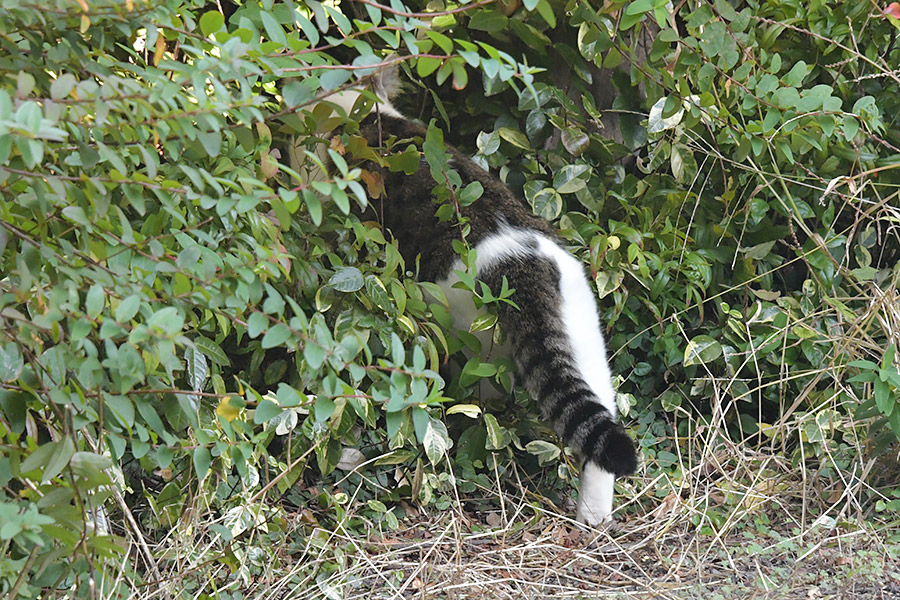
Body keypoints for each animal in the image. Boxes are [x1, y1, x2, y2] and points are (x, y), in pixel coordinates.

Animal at [312, 76, 636, 524]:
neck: (367, 114)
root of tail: (528, 265)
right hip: (584, 342)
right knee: (599, 417)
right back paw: (594, 515)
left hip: (478, 350)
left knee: (488, 406)